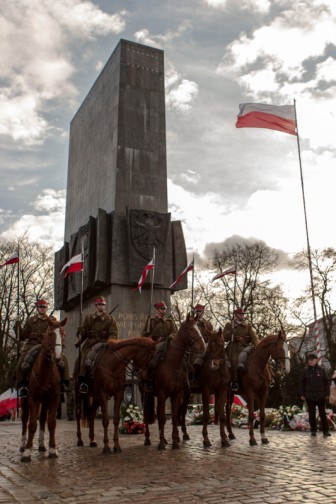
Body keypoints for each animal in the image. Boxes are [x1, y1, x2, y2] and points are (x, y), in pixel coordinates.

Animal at [19, 316, 66, 462]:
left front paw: (52, 449)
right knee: (25, 419)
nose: (58, 358)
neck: (46, 371)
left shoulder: (54, 399)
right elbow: (32, 424)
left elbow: (51, 423)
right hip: (24, 399)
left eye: (63, 334)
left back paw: (42, 445)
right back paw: (22, 445)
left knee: (43, 419)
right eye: (50, 334)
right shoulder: (33, 399)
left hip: (44, 402)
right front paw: (27, 452)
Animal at [140, 316, 205, 450]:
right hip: (145, 394)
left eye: (198, 328)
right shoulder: (162, 394)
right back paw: (148, 439)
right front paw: (160, 443)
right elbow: (163, 418)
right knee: (146, 415)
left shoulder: (177, 394)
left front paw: (174, 442)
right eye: (190, 329)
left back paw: (165, 439)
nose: (202, 347)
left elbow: (174, 417)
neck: (172, 364)